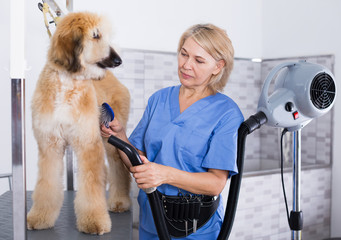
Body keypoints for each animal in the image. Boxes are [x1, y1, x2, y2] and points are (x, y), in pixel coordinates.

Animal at [25, 11, 130, 234]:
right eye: (96, 35)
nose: (118, 60)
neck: (67, 84)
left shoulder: (87, 142)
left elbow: (91, 186)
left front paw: (94, 221)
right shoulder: (50, 145)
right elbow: (47, 184)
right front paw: (40, 217)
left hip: (111, 138)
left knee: (119, 168)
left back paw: (120, 201)